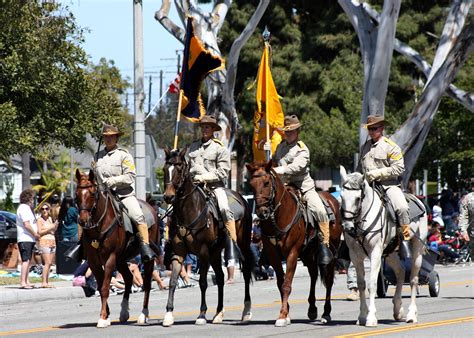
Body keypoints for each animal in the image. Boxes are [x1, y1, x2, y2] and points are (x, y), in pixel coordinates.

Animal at [75, 169, 160, 328]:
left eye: (92, 193)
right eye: (77, 194)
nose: (83, 220)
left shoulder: (110, 258)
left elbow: (104, 287)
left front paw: (103, 317)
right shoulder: (94, 262)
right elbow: (101, 286)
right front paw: (106, 315)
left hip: (146, 259)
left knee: (146, 283)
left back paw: (143, 315)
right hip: (121, 259)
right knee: (128, 278)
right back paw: (124, 312)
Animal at [161, 149, 254, 328]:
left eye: (180, 169)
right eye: (164, 169)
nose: (168, 197)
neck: (189, 211)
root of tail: (242, 199)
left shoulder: (203, 252)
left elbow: (203, 282)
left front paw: (202, 314)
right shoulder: (179, 253)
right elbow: (173, 281)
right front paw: (168, 314)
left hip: (242, 245)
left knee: (246, 272)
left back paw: (246, 312)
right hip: (216, 252)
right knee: (220, 277)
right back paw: (218, 313)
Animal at [244, 161, 340, 328]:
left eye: (266, 183)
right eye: (251, 185)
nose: (262, 212)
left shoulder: (292, 253)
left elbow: (287, 284)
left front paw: (282, 315)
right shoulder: (274, 256)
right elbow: (280, 283)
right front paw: (286, 313)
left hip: (331, 254)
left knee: (328, 279)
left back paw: (326, 313)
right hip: (308, 253)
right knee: (313, 274)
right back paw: (312, 309)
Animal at [338, 166, 428, 328]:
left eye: (357, 198)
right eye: (341, 197)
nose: (347, 227)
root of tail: (418, 199)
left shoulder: (375, 252)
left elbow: (372, 284)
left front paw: (371, 317)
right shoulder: (355, 255)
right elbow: (361, 284)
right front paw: (362, 316)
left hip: (417, 249)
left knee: (413, 279)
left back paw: (411, 315)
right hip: (390, 252)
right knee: (400, 272)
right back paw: (398, 310)